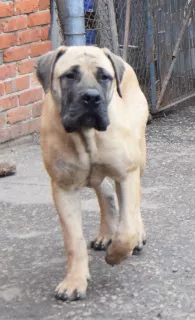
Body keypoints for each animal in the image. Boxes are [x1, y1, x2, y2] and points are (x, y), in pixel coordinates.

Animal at [35, 46, 149, 302]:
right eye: (69, 75)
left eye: (104, 76)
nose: (91, 97)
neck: (85, 136)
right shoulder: (63, 188)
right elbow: (73, 240)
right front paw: (74, 281)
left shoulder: (126, 173)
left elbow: (126, 229)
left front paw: (116, 254)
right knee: (105, 193)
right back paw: (105, 234)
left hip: (139, 155)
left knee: (133, 204)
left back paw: (136, 236)